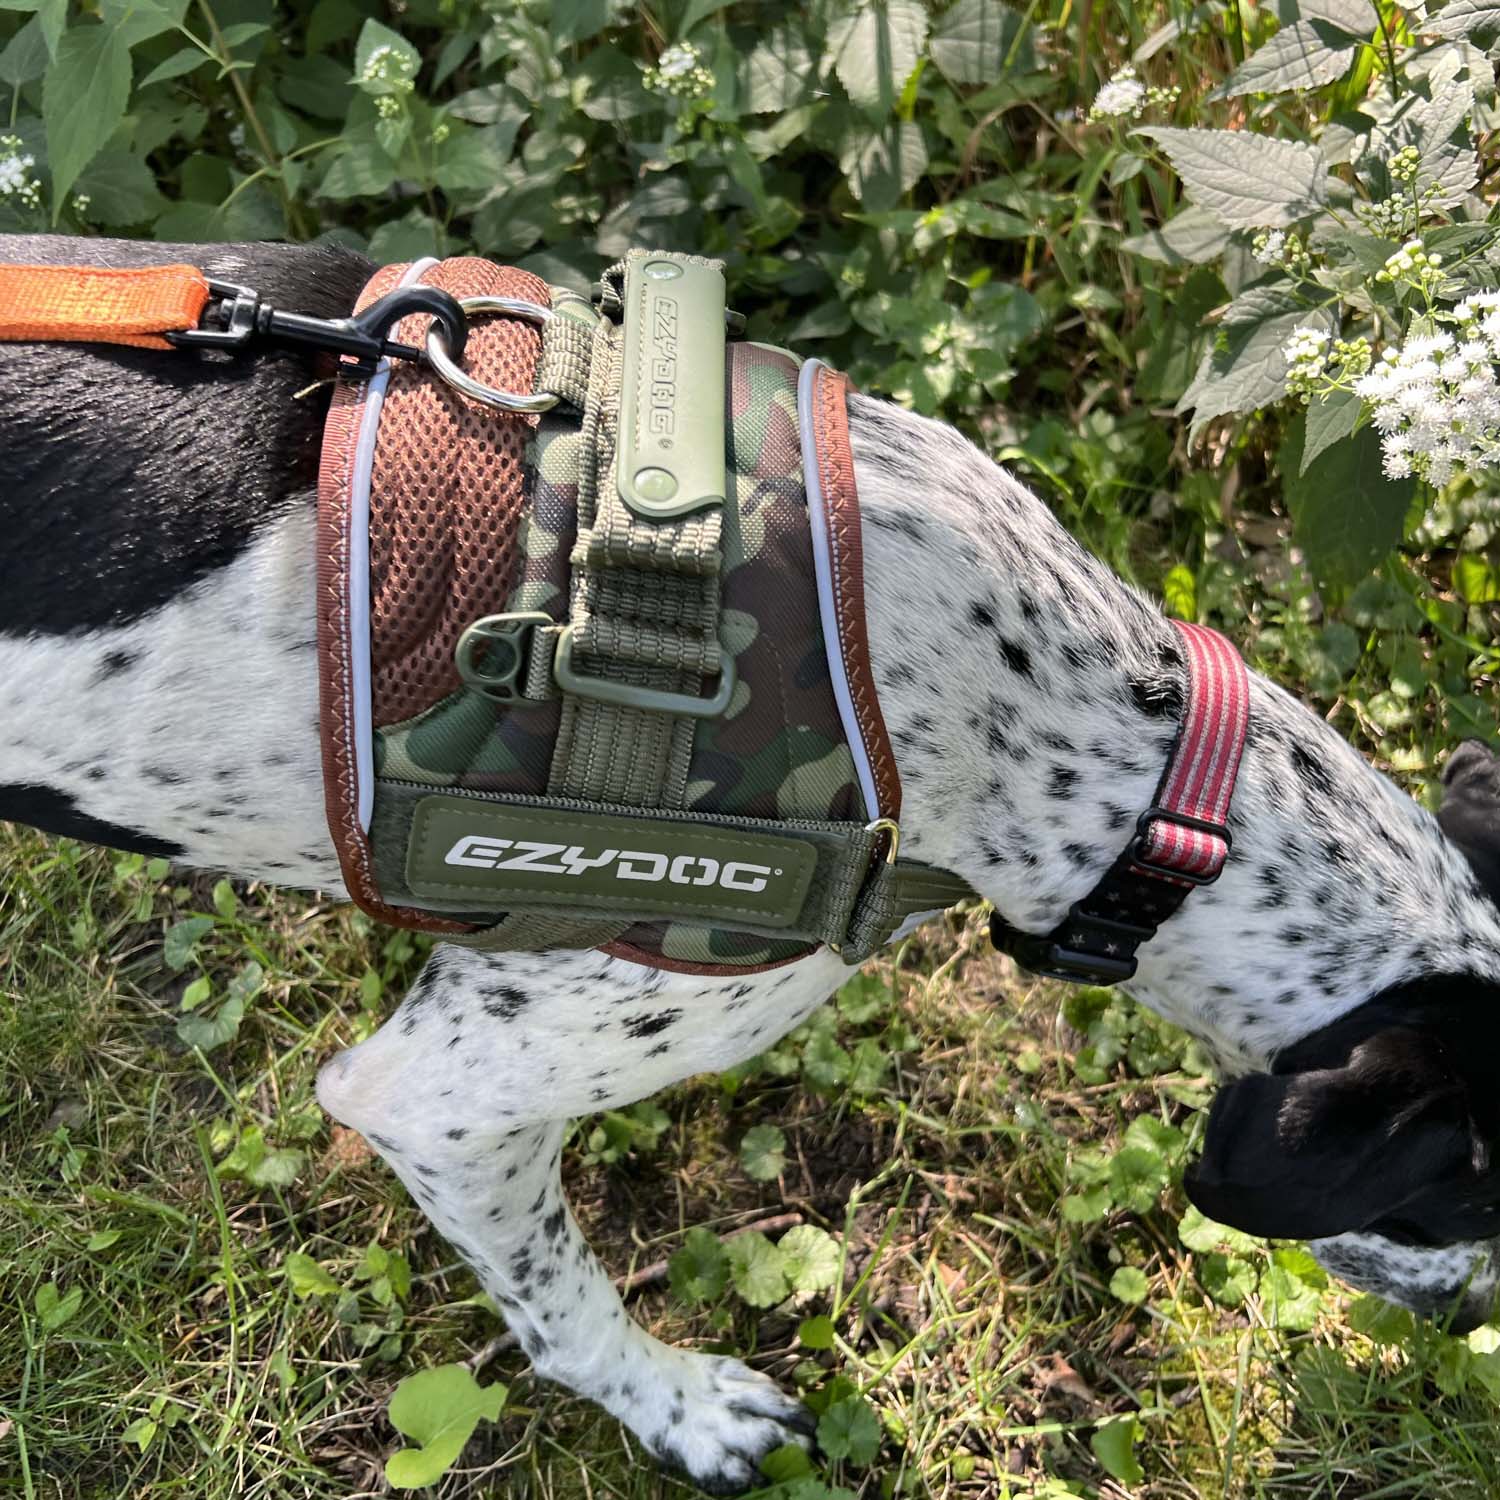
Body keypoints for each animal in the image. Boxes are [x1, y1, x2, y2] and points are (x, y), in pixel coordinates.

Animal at [2, 234, 1500, 1488]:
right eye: (1465, 1188)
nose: (1470, 1324)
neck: (1080, 726)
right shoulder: (440, 1096)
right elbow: (561, 1293)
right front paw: (675, 1408)